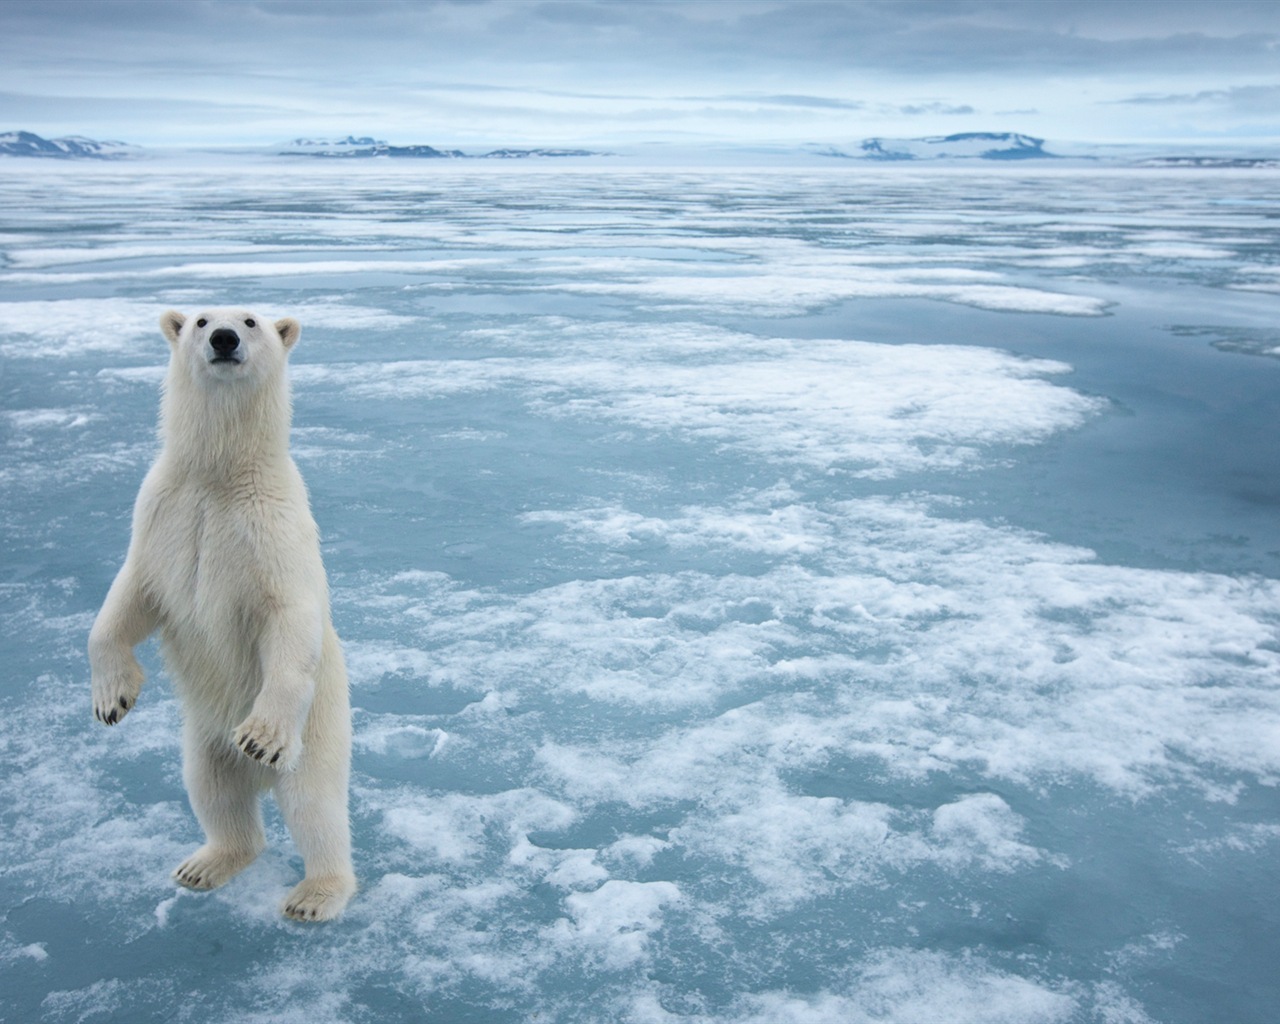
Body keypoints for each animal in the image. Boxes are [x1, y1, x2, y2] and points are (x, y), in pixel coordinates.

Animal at [88, 308, 355, 921]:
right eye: (201, 318)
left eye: (251, 320)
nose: (224, 339)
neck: (219, 475)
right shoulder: (162, 513)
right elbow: (129, 598)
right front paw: (113, 698)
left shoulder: (272, 528)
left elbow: (288, 616)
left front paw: (260, 735)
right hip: (203, 738)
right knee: (212, 791)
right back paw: (204, 864)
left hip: (319, 730)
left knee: (315, 806)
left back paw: (315, 894)